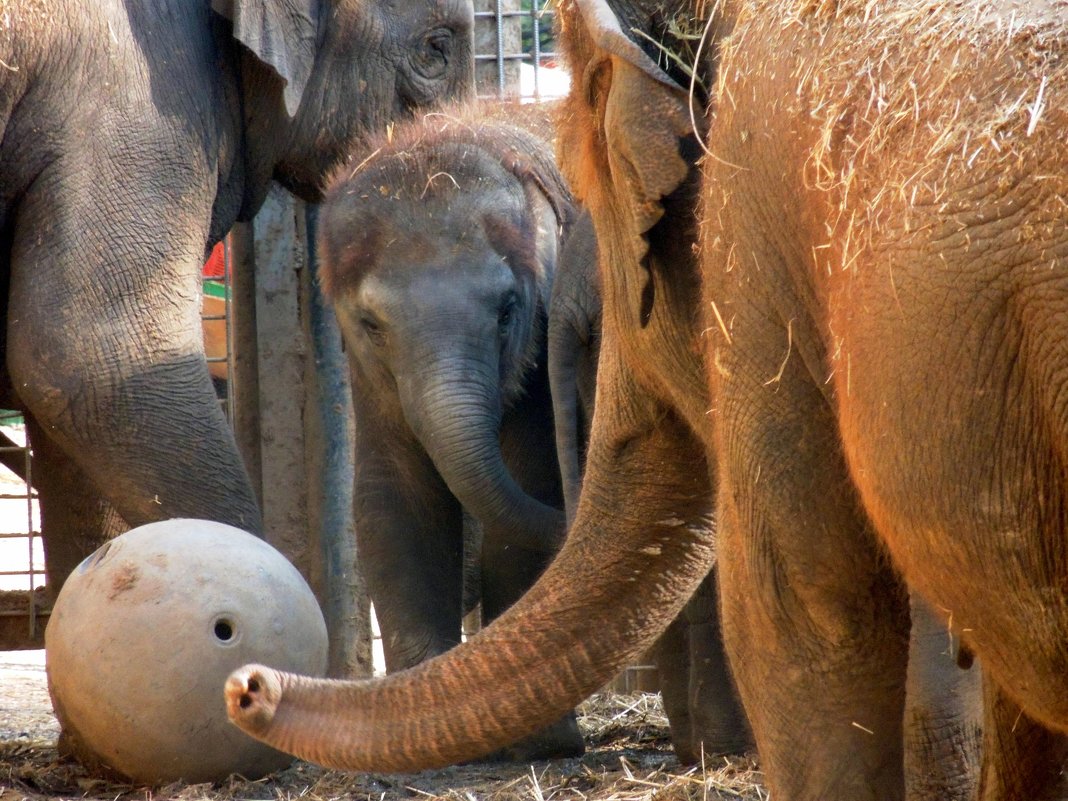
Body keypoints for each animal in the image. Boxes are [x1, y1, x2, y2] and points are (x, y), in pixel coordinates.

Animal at [313, 105, 585, 760]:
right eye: (370, 323)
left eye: (509, 310)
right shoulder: (368, 377)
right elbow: (393, 498)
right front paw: (415, 731)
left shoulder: (543, 347)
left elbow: (531, 485)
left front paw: (535, 741)